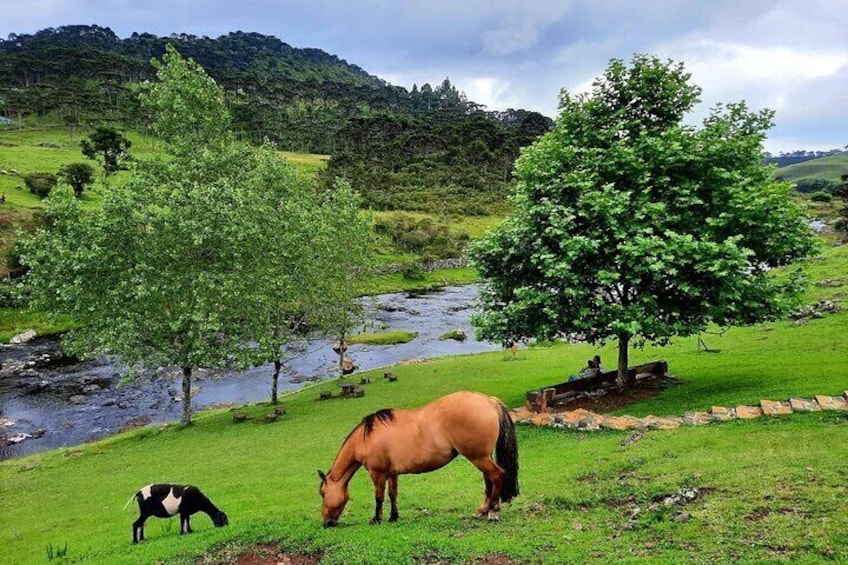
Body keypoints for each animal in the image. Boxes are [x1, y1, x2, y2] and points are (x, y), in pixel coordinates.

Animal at [318, 390, 516, 528]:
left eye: (322, 493)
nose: (326, 523)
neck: (367, 438)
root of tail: (488, 401)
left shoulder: (378, 474)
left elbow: (379, 497)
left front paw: (376, 519)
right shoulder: (392, 473)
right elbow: (393, 494)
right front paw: (393, 517)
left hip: (478, 457)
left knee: (497, 476)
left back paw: (493, 512)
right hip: (482, 457)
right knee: (489, 480)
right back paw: (482, 511)